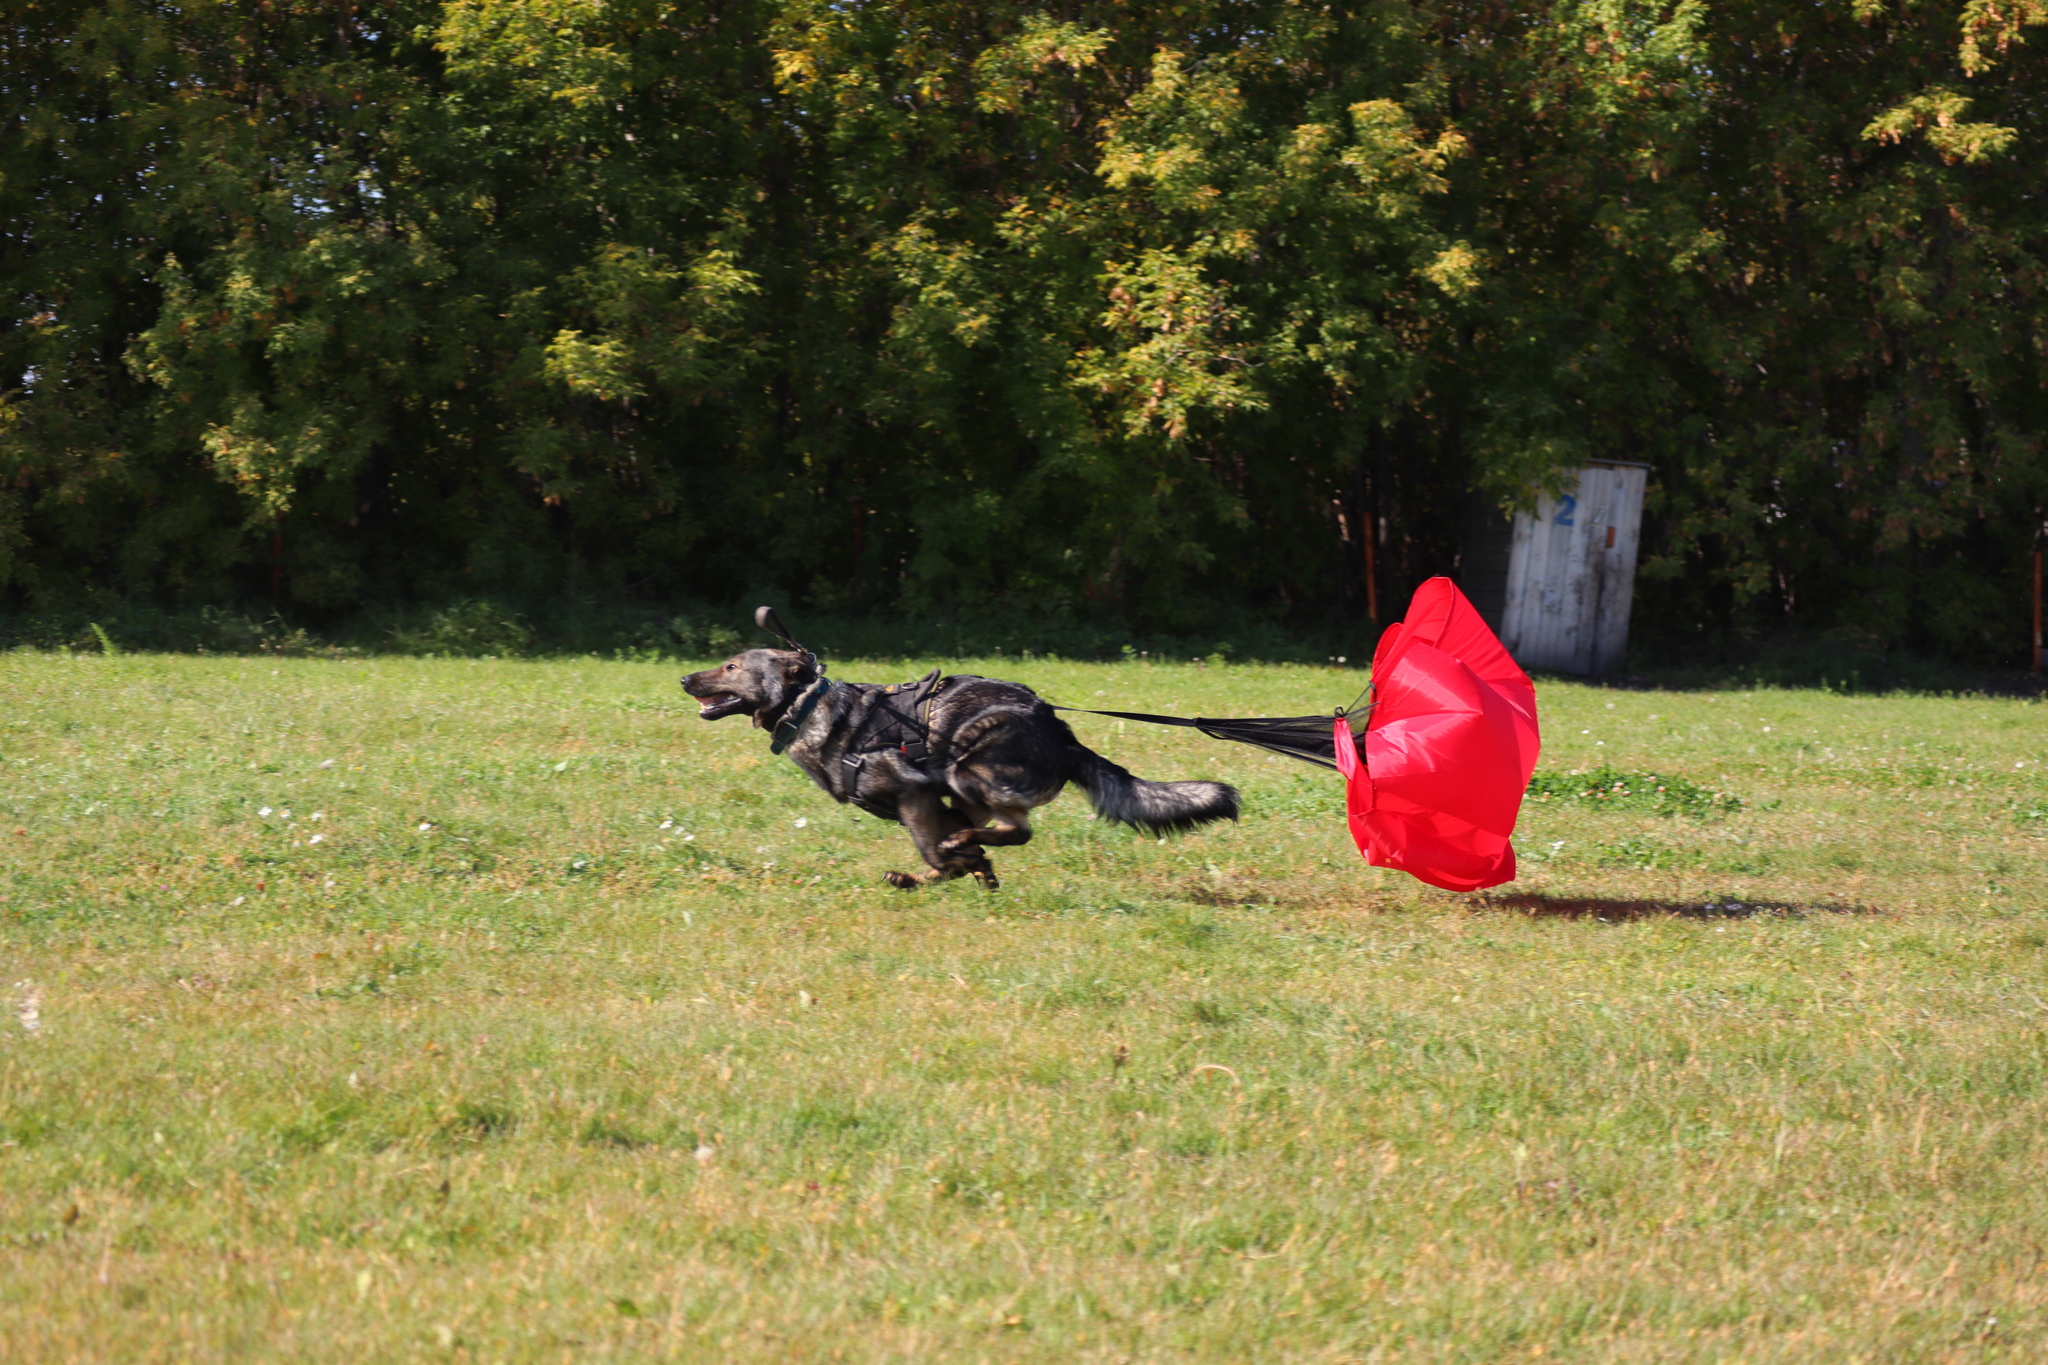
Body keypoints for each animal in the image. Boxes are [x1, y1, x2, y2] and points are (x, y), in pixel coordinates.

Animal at [684, 650, 1228, 892]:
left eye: (732, 667)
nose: (685, 677)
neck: (806, 706)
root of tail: (1060, 730)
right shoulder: (931, 805)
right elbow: (962, 857)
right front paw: (971, 870)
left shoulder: (915, 797)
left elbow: (941, 849)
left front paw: (958, 863)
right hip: (964, 788)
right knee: (987, 832)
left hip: (966, 766)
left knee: (1015, 831)